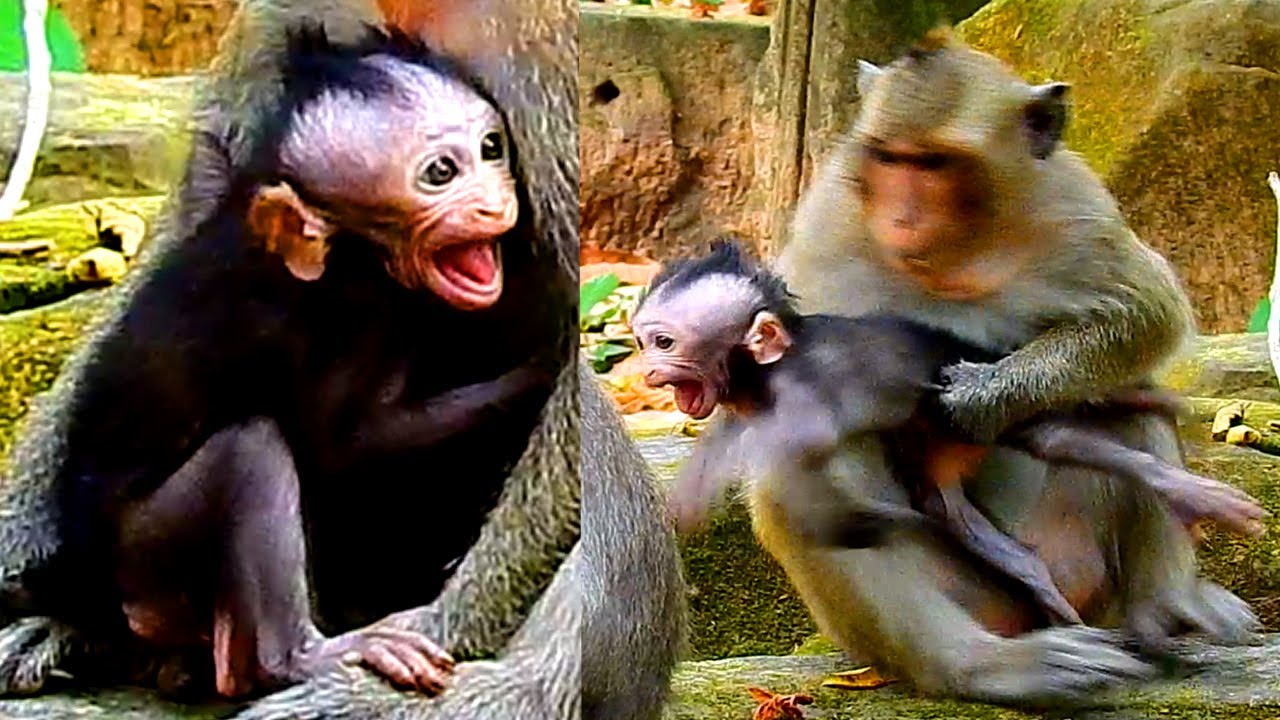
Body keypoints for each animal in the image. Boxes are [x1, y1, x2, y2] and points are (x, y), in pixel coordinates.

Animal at [632, 237, 1266, 628]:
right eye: (643, 342)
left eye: (663, 341)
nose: (646, 371)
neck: (766, 373)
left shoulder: (803, 396)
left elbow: (806, 469)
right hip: (949, 446)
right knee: (954, 507)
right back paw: (1046, 595)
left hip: (981, 408)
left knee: (1056, 441)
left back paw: (1185, 492)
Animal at [753, 29, 1261, 704]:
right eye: (888, 158)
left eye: (933, 164)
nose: (901, 218)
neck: (956, 255)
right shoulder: (827, 231)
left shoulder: (1072, 205)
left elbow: (1145, 312)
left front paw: (984, 397)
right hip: (969, 597)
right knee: (812, 474)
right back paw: (981, 665)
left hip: (1077, 561)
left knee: (1125, 396)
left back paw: (1167, 605)